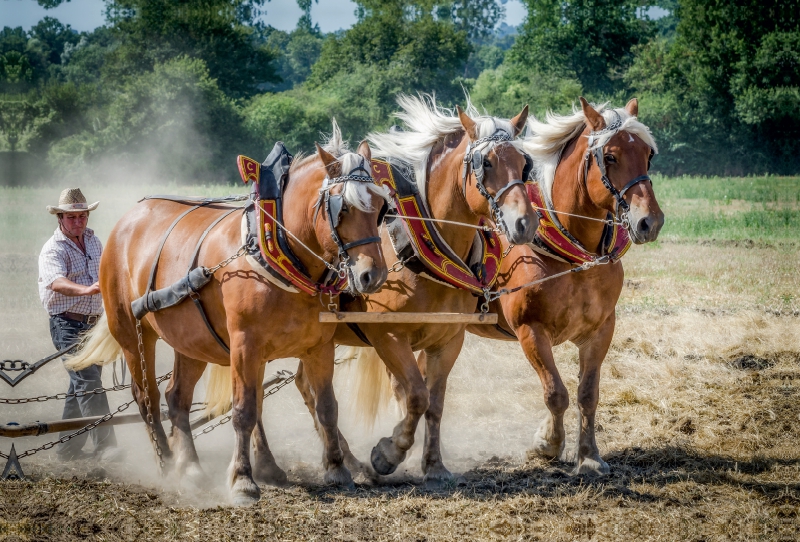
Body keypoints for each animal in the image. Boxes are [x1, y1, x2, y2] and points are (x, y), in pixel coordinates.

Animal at [70, 136, 390, 506]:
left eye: (380, 206)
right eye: (344, 208)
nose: (372, 275)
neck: (277, 250)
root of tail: (126, 222)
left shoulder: (319, 346)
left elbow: (327, 407)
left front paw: (337, 470)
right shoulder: (245, 345)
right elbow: (244, 411)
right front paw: (242, 480)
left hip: (192, 341)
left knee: (176, 397)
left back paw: (191, 468)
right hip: (132, 335)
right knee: (147, 397)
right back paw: (167, 465)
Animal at [468, 99, 664, 476]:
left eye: (648, 154)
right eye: (611, 156)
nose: (650, 221)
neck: (572, 256)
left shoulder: (600, 330)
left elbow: (587, 394)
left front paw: (589, 456)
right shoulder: (530, 331)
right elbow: (555, 392)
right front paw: (547, 443)